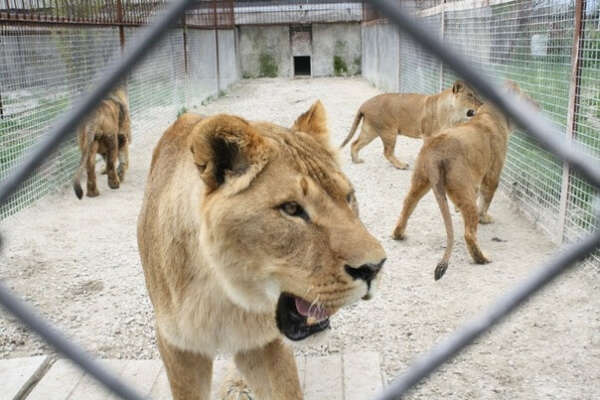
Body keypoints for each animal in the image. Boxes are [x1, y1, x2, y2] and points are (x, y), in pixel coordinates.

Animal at [138, 101, 386, 400]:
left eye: (348, 198)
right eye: (291, 209)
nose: (375, 267)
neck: (223, 295)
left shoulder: (265, 342)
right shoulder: (177, 347)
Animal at [342, 81, 482, 169]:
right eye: (470, 95)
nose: (482, 104)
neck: (453, 115)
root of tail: (364, 104)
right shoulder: (427, 135)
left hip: (370, 130)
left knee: (355, 143)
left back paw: (356, 160)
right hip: (389, 131)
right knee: (387, 152)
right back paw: (401, 165)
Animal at [394, 81, 540, 280]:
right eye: (527, 100)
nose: (538, 106)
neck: (491, 114)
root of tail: (436, 151)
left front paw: (459, 210)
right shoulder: (492, 175)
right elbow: (486, 199)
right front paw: (484, 217)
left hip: (420, 180)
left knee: (408, 204)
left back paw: (398, 233)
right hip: (463, 188)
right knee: (469, 233)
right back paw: (482, 258)